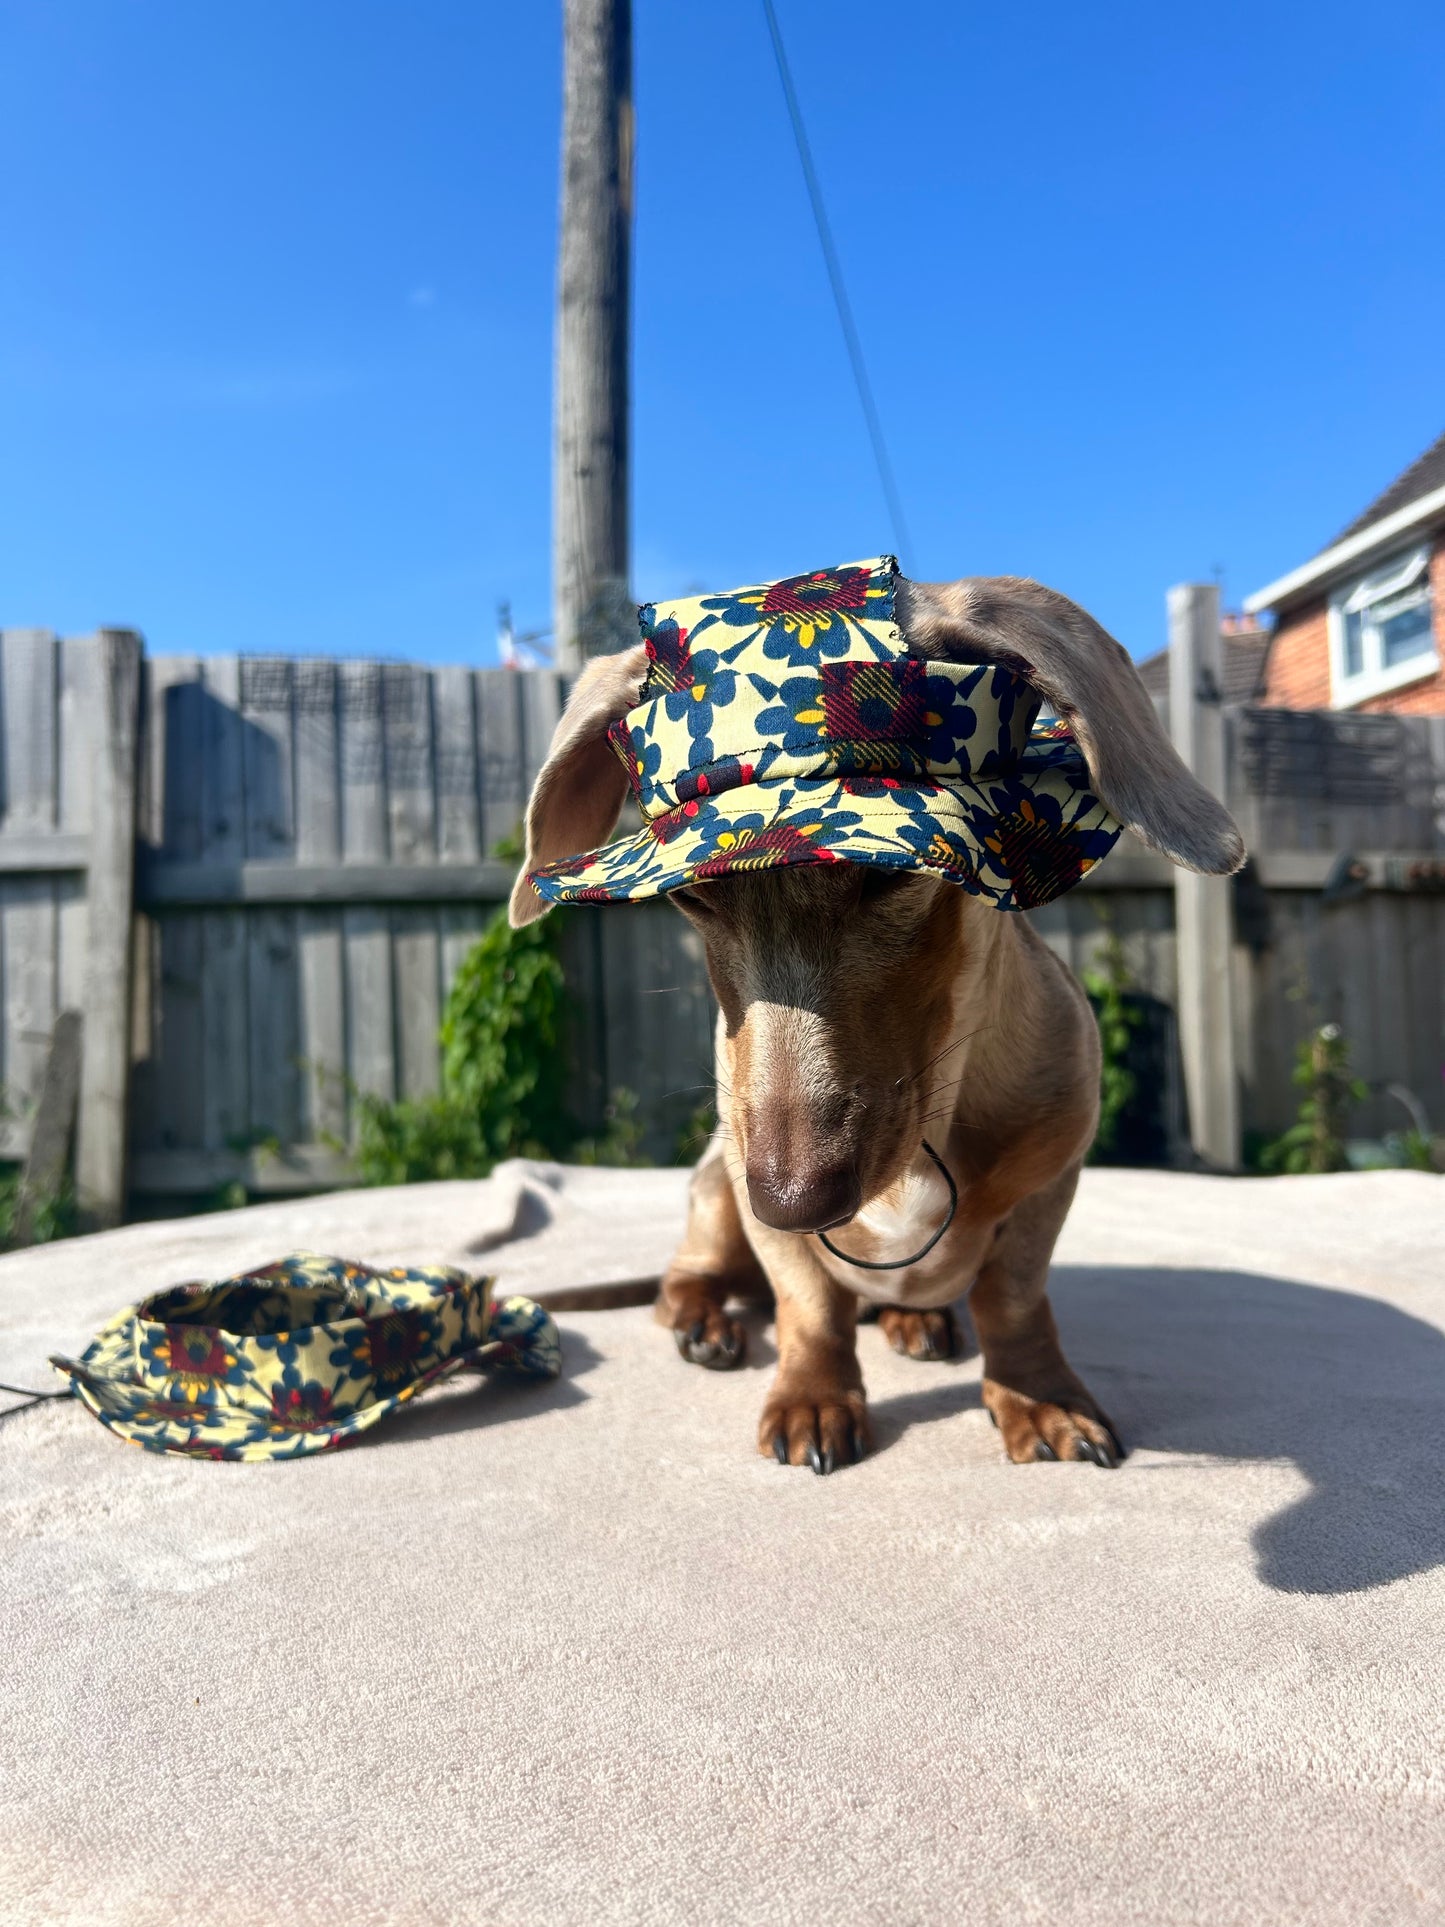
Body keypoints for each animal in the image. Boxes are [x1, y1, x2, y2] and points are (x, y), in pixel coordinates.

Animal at [508, 570, 1248, 1472]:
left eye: (887, 875)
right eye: (693, 897)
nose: (793, 1201)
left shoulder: (1049, 1180)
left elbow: (1012, 1298)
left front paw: (1038, 1396)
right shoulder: (758, 1200)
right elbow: (809, 1307)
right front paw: (812, 1397)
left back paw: (912, 1317)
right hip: (714, 1188)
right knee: (687, 1274)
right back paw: (702, 1319)